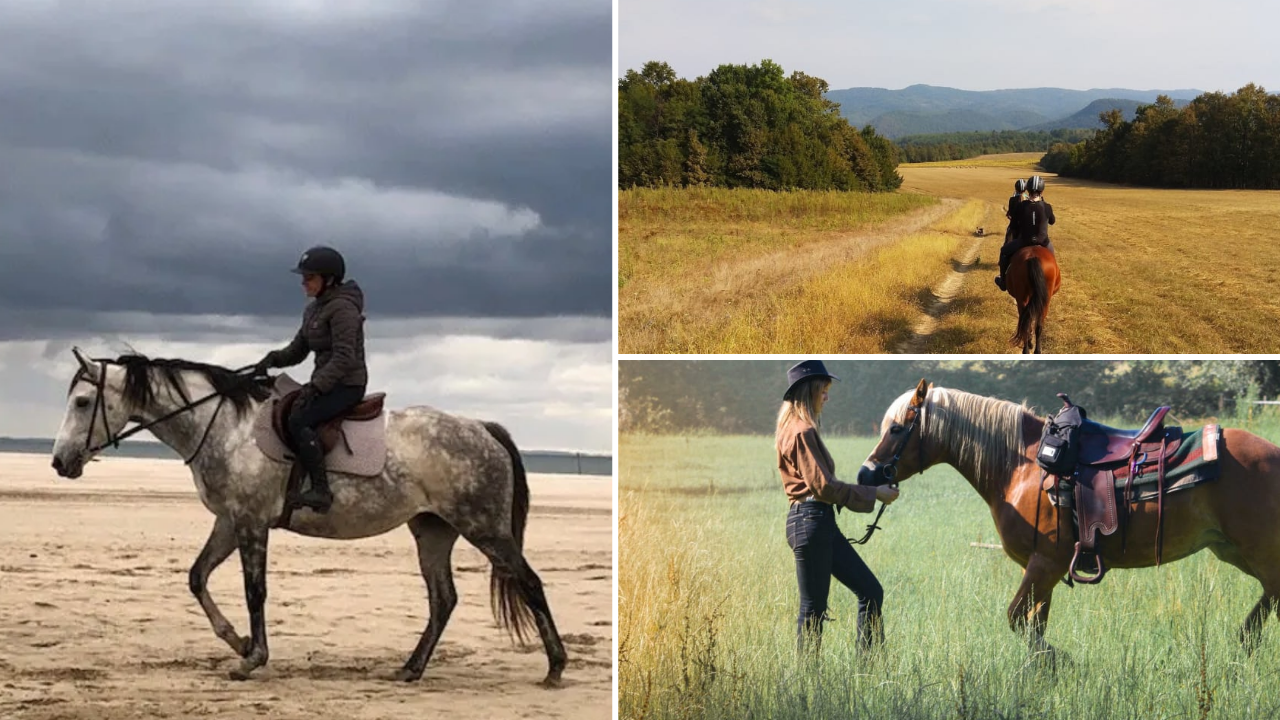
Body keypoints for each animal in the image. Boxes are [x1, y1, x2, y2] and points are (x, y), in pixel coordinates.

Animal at [49, 348, 567, 686]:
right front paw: (237, 641)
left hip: (485, 528)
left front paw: (252, 658)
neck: (223, 426)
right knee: (444, 599)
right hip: (433, 532)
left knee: (528, 582)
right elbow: (197, 577)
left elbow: (254, 590)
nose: (59, 462)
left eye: (82, 403)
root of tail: (482, 428)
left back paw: (556, 667)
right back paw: (411, 668)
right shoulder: (229, 521)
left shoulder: (250, 522)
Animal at [857, 379, 1280, 662]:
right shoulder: (1041, 568)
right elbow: (1033, 623)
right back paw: (1244, 642)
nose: (866, 474)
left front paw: (1059, 661)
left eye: (896, 428)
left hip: (1258, 550)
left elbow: (1017, 619)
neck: (1022, 465)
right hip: (1233, 550)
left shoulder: (1046, 563)